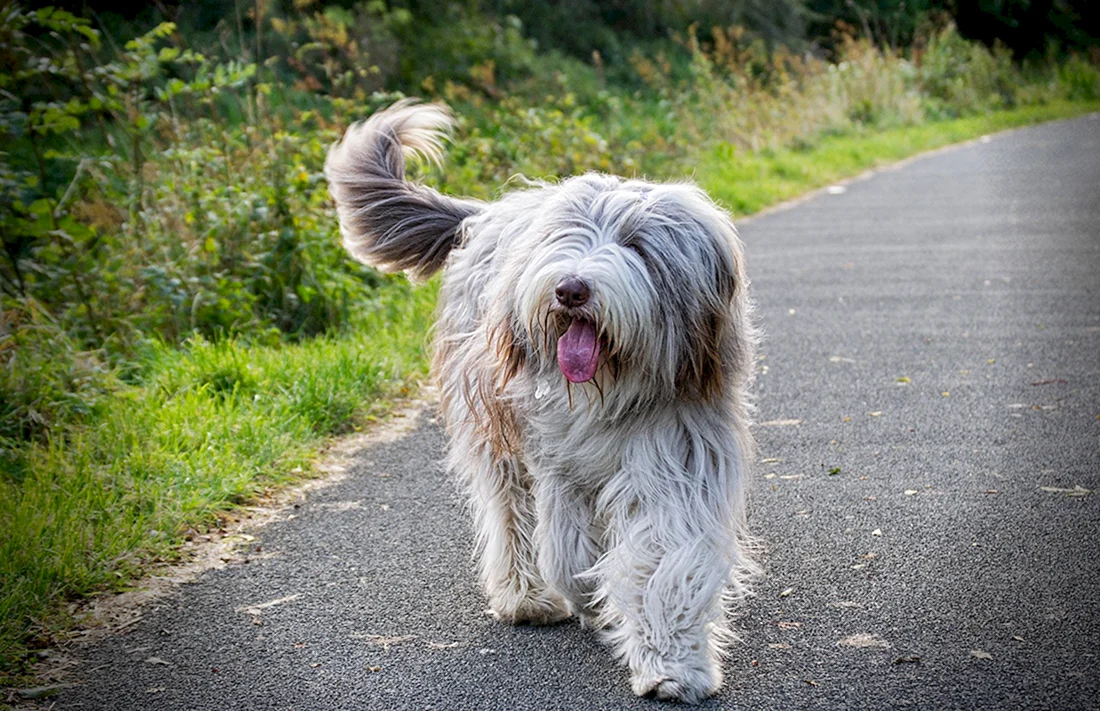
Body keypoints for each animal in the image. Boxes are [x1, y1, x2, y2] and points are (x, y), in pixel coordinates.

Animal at [325, 101, 756, 708]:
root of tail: (492, 212)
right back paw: (527, 597)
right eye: (569, 236)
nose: (571, 289)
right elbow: (566, 550)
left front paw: (673, 666)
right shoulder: (555, 456)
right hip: (494, 426)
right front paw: (589, 599)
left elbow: (668, 555)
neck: (611, 390)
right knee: (511, 511)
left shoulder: (678, 449)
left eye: (636, 245)